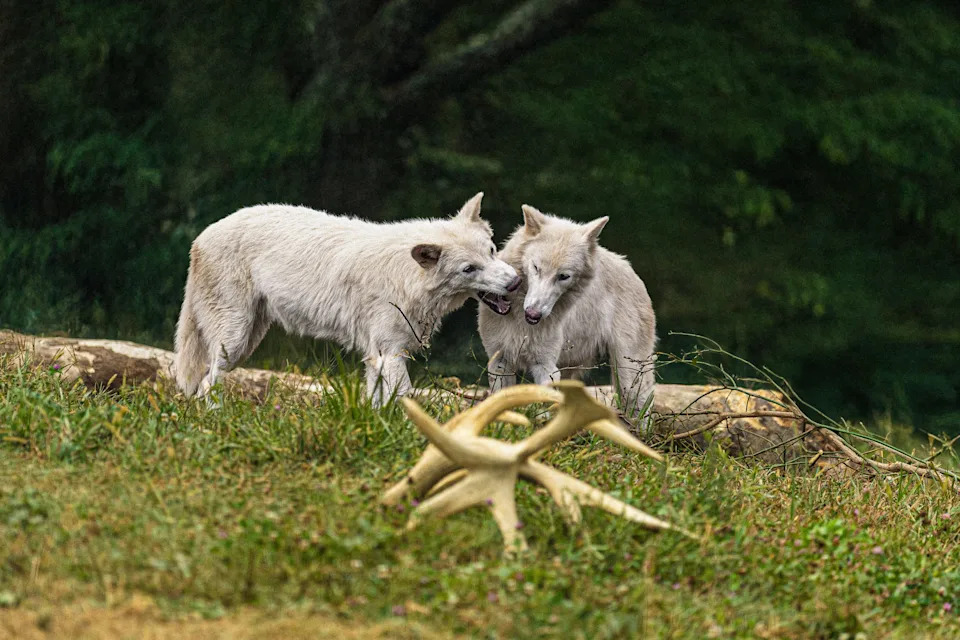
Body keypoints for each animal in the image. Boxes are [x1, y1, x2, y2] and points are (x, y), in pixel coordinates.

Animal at [174, 193, 521, 406]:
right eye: (469, 268)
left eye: (492, 251)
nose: (515, 282)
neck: (408, 277)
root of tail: (200, 237)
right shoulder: (389, 355)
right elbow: (407, 400)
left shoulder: (377, 358)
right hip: (233, 342)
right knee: (207, 384)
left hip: (246, 343)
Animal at [477, 205, 657, 426]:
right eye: (536, 268)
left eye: (563, 276)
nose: (534, 313)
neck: (520, 319)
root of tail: (631, 270)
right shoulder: (500, 360)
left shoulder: (545, 366)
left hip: (629, 373)